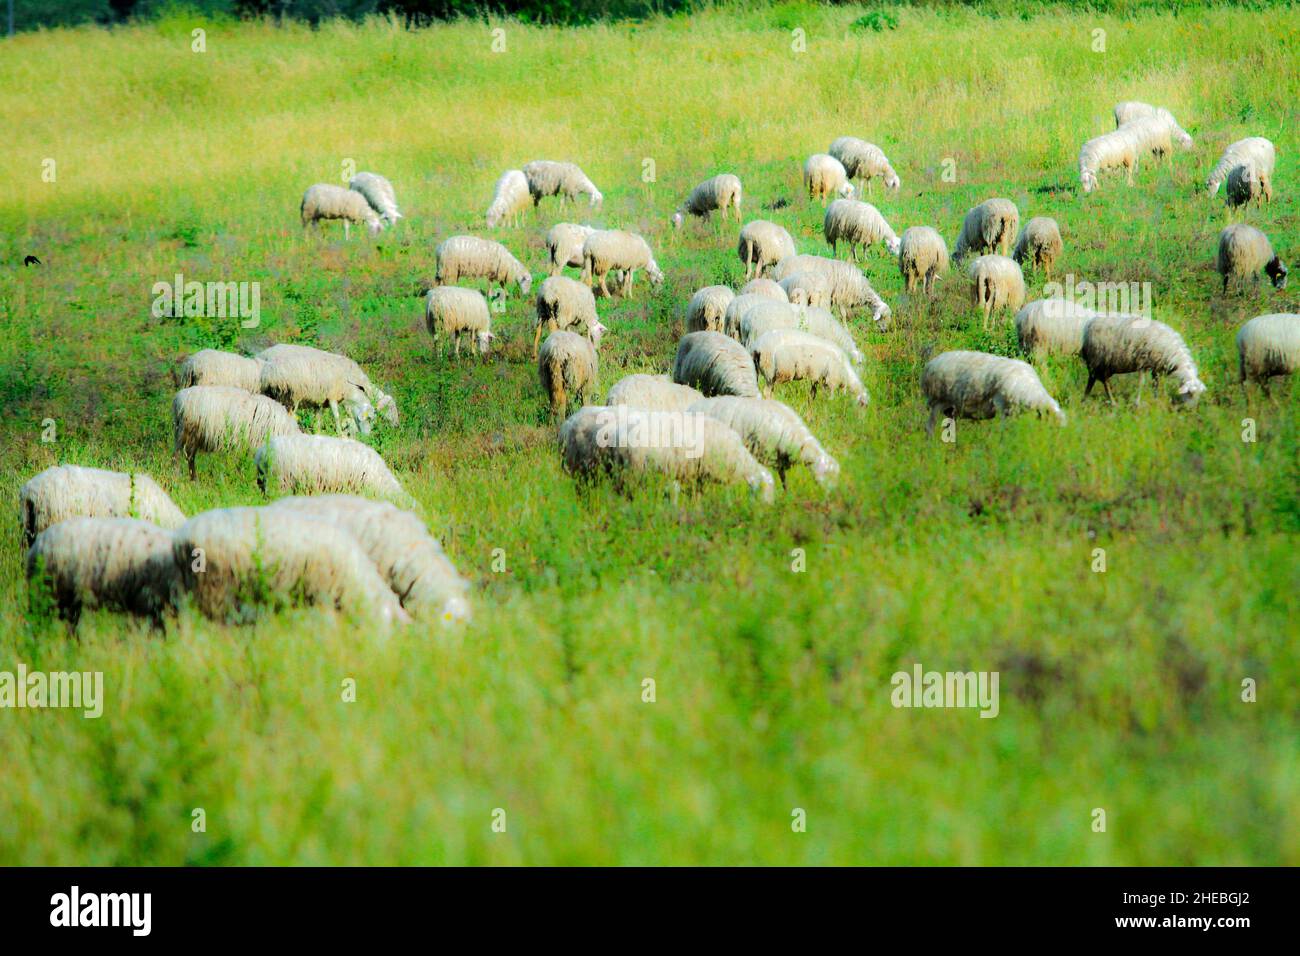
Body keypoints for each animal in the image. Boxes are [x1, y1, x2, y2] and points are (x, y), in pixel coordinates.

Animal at [256, 343, 399, 435]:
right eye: (391, 408)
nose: (397, 425)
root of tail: (262, 353)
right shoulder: (333, 397)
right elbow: (337, 416)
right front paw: (340, 434)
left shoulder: (320, 402)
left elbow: (318, 423)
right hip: (291, 396)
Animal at [688, 396, 839, 489]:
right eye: (827, 474)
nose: (832, 497)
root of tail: (691, 407)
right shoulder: (765, 454)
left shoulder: (779, 459)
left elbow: (784, 479)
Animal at [921, 351, 1065, 436]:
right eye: (1053, 427)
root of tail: (931, 363)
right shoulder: (1002, 407)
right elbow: (1004, 431)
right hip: (937, 401)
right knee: (929, 426)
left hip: (951, 408)